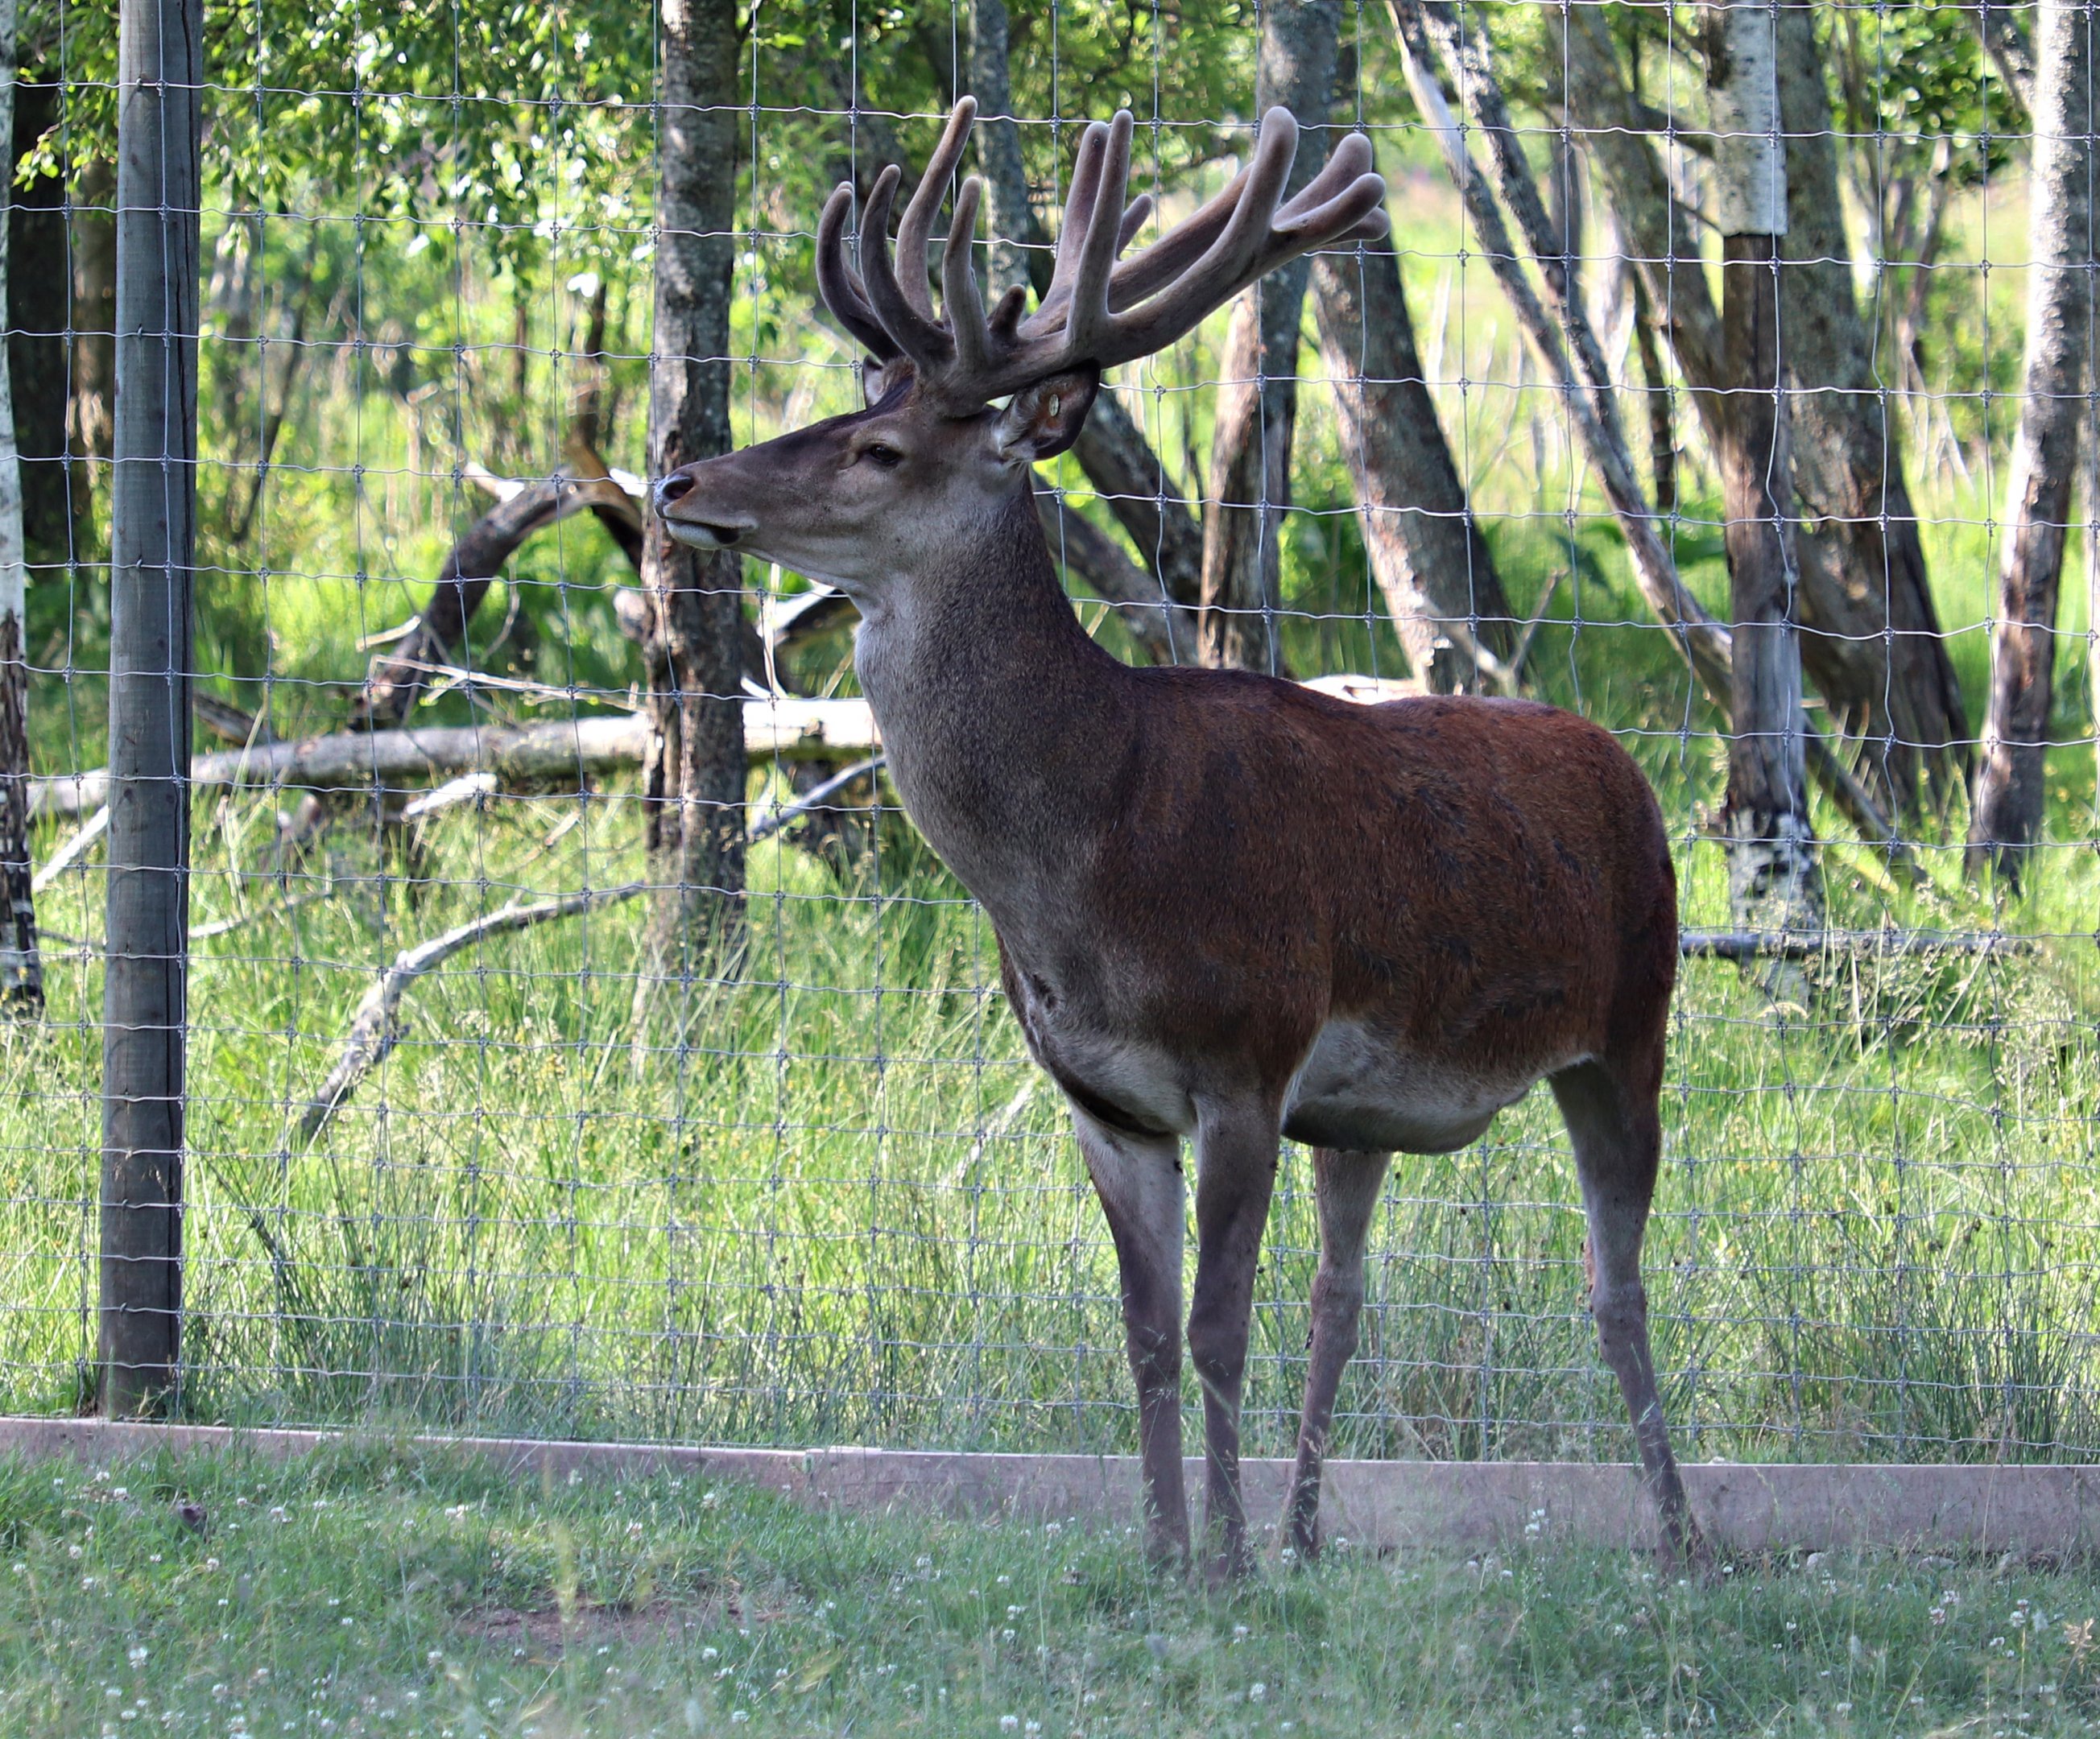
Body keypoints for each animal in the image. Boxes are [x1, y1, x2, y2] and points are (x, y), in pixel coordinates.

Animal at [654, 97, 1705, 1580]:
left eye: (882, 449)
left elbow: (1216, 1331)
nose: (680, 473)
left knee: (1617, 1289)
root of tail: (1625, 763)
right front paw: (1163, 1550)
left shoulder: (1247, 1056)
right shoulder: (1103, 1098)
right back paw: (1315, 1532)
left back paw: (1674, 1537)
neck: (1087, 857)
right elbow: (1147, 1336)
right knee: (1341, 1295)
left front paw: (1222, 1562)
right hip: (1365, 1114)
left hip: (1629, 1026)